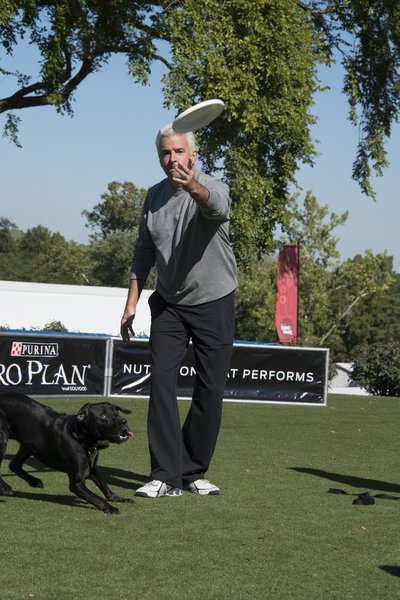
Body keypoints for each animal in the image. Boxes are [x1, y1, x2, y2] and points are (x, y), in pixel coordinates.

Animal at [0, 392, 134, 512]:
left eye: (115, 412)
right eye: (103, 416)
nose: (124, 422)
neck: (80, 437)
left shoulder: (92, 468)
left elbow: (105, 487)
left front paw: (118, 498)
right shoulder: (77, 484)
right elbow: (96, 497)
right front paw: (110, 508)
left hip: (29, 445)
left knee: (14, 465)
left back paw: (34, 481)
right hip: (3, 438)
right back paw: (5, 487)